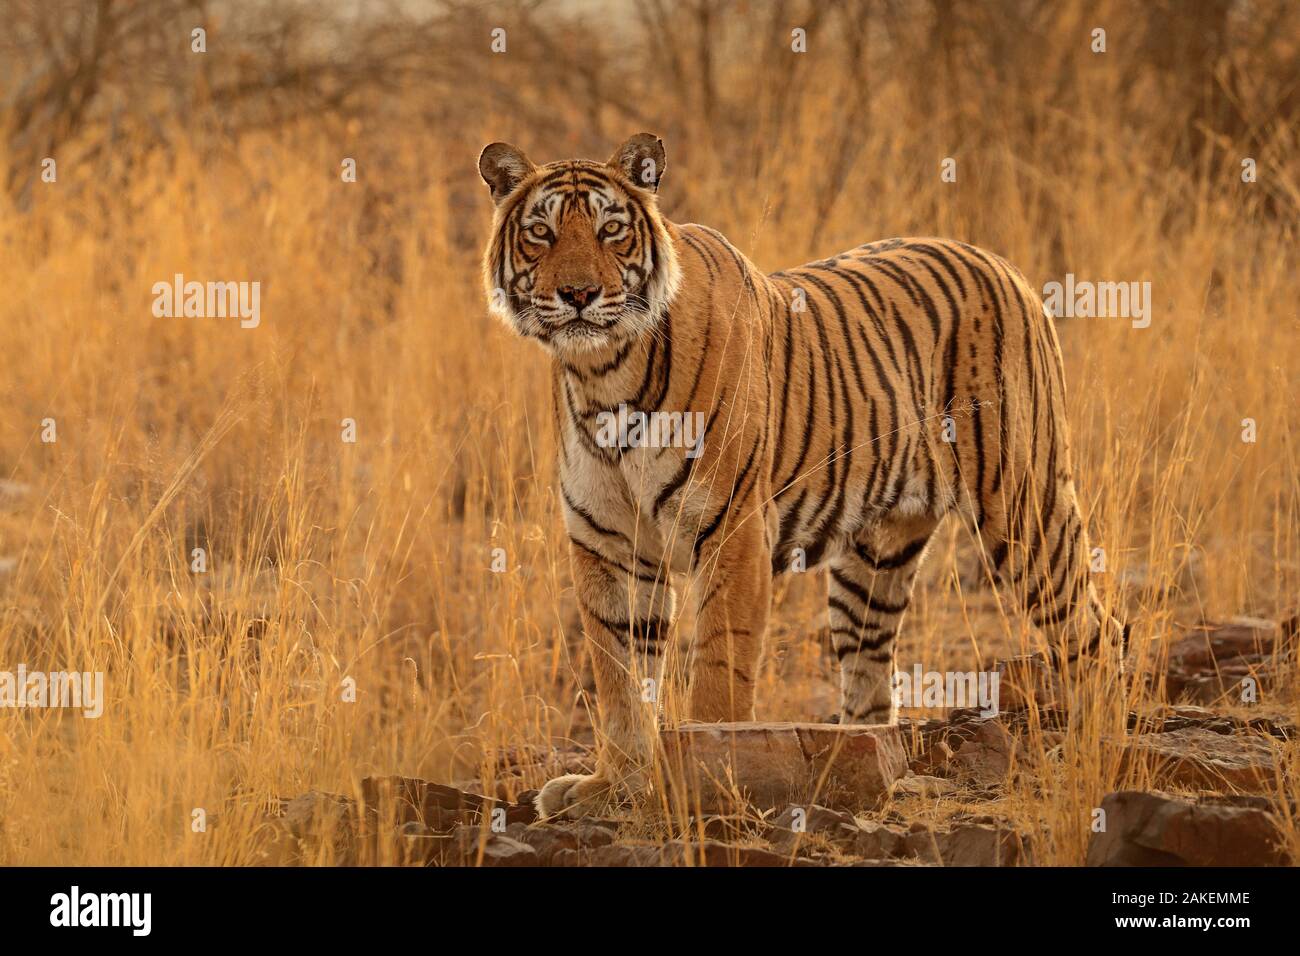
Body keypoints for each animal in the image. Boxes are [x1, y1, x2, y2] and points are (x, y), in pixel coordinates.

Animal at [478, 132, 1128, 822]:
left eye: (611, 231)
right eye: (542, 233)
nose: (578, 294)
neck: (604, 374)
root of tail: (1003, 262)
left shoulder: (732, 534)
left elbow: (718, 674)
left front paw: (704, 774)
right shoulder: (608, 546)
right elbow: (622, 679)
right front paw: (616, 785)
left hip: (1024, 505)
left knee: (1096, 632)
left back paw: (1096, 753)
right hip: (874, 559)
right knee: (872, 679)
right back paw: (860, 767)